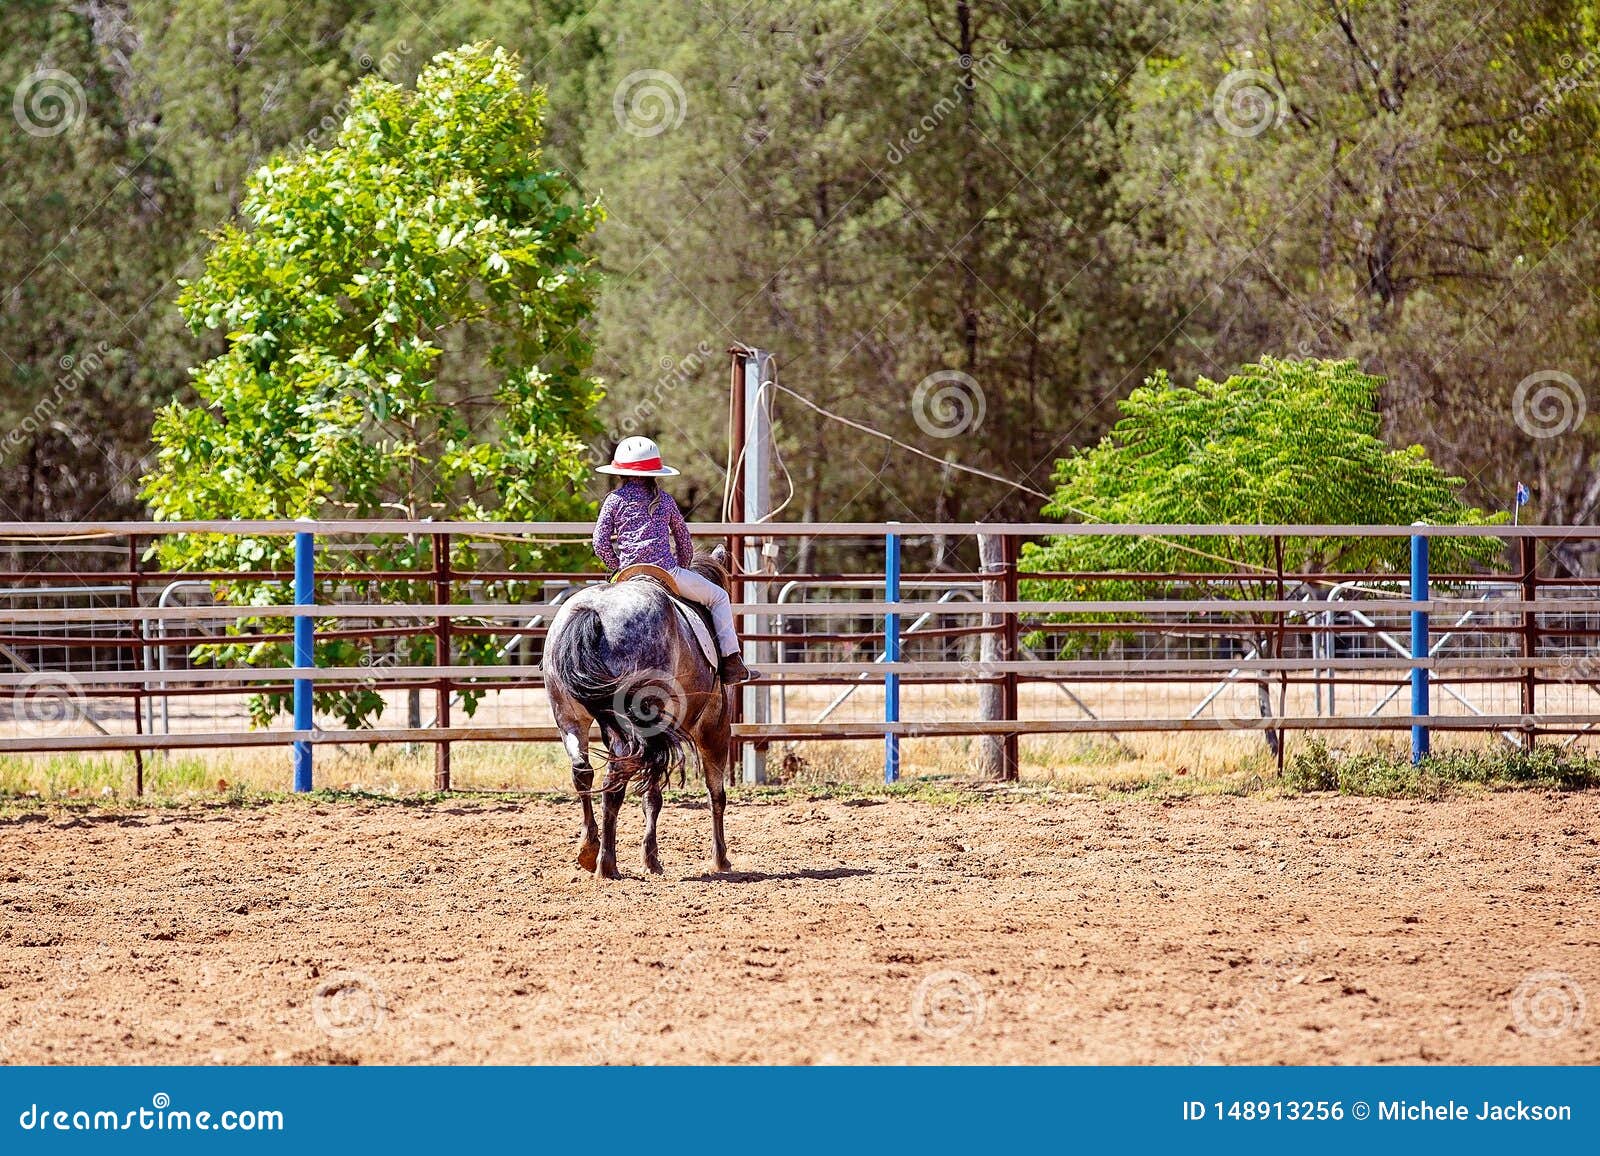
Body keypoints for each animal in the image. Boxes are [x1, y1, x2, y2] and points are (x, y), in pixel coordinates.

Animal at [540, 544, 732, 877]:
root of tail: (593, 612)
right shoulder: (713, 725)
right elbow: (711, 792)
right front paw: (717, 859)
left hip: (570, 716)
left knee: (583, 771)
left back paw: (590, 850)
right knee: (614, 782)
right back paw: (607, 864)